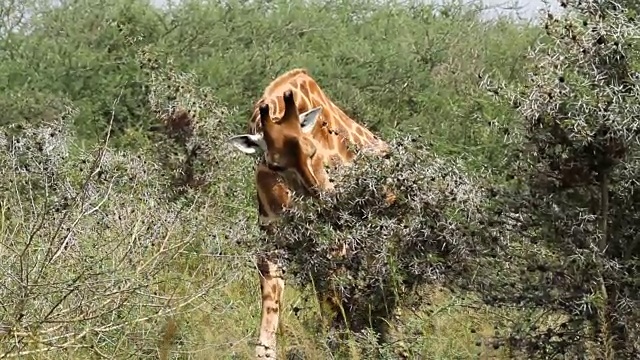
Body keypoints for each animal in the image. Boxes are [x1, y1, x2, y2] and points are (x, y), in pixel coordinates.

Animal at [230, 67, 390, 358]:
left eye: (313, 150)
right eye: (275, 165)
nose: (324, 204)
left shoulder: (335, 245)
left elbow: (332, 300)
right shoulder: (272, 243)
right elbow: (271, 301)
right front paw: (265, 351)